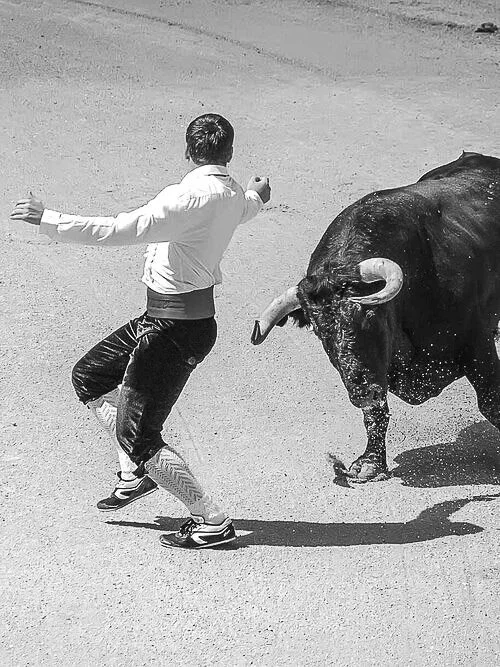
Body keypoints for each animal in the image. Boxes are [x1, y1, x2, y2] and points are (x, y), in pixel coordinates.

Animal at [252, 152, 500, 482]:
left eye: (369, 314)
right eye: (318, 330)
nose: (362, 391)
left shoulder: (478, 345)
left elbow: (491, 403)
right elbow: (375, 412)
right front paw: (371, 463)